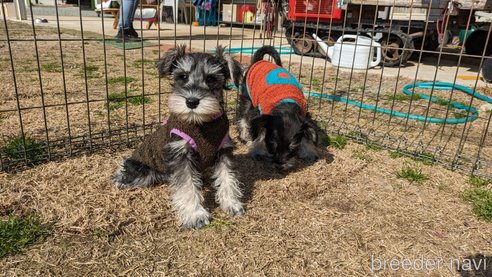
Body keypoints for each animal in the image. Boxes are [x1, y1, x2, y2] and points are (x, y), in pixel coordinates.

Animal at [110, 44, 243, 227]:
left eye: (211, 79)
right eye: (183, 76)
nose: (192, 101)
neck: (201, 123)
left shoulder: (223, 149)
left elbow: (227, 178)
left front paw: (232, 203)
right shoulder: (180, 153)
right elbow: (187, 185)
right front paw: (195, 215)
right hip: (140, 168)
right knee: (125, 169)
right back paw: (119, 178)